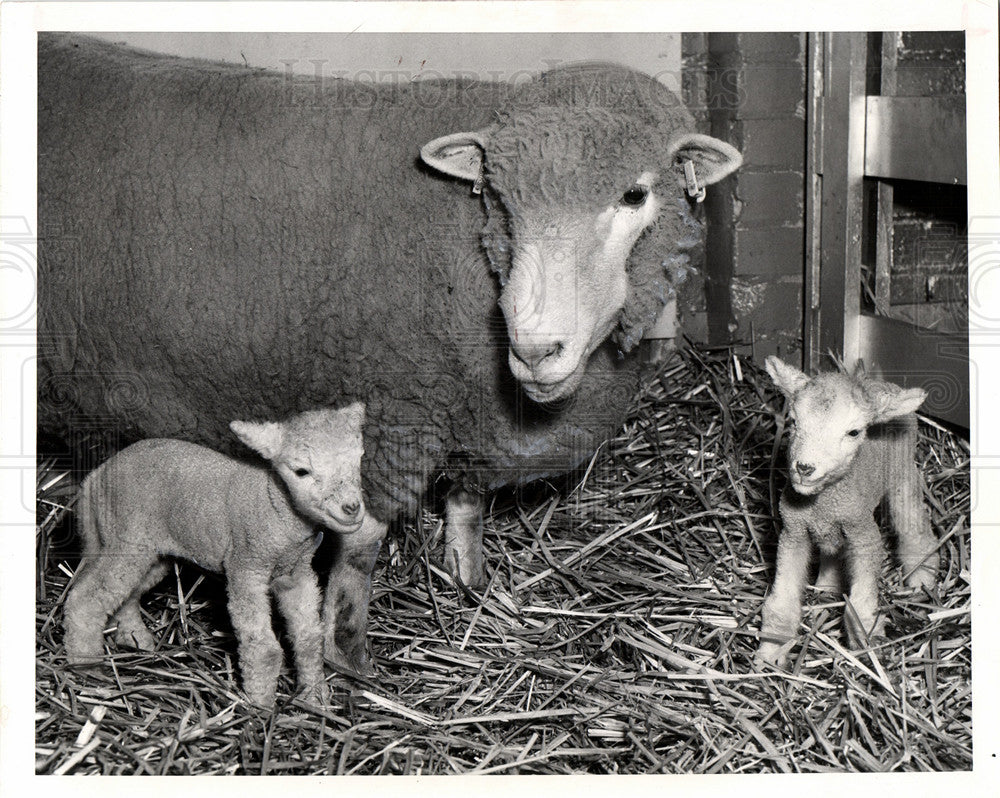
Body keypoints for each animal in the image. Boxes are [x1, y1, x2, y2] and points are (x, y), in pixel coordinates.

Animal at [37, 37, 744, 676]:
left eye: (635, 196)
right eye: (499, 200)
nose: (534, 350)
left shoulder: (462, 406)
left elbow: (466, 503)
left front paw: (470, 583)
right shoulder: (386, 417)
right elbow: (360, 549)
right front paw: (346, 658)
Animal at [63, 406, 368, 708]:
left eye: (358, 459)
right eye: (301, 471)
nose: (351, 508)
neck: (274, 504)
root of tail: (95, 477)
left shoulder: (297, 573)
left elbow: (309, 638)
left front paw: (314, 697)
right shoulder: (246, 567)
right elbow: (263, 647)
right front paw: (261, 707)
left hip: (152, 551)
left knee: (126, 595)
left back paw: (135, 639)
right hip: (127, 539)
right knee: (87, 597)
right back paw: (86, 667)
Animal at [752, 358, 940, 668]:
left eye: (853, 432)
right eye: (794, 422)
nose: (804, 467)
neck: (821, 503)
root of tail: (877, 382)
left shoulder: (863, 534)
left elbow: (862, 606)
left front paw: (866, 649)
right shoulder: (793, 532)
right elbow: (781, 604)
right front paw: (770, 654)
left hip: (902, 472)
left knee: (914, 527)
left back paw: (922, 578)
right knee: (833, 551)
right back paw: (826, 589)